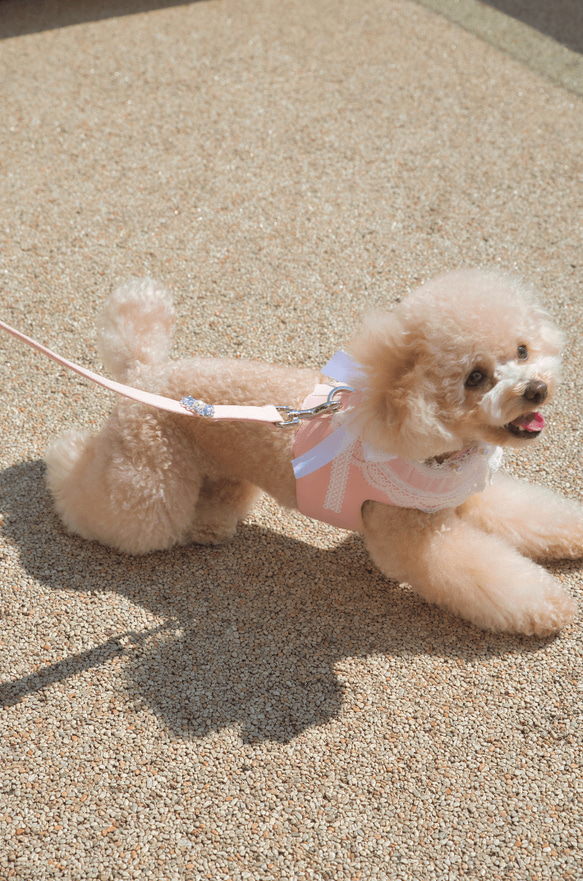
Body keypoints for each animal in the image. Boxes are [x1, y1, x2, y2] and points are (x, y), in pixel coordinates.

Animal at [43, 272, 580, 636]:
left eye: (523, 349)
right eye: (475, 377)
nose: (535, 390)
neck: (436, 453)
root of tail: (144, 373)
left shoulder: (464, 496)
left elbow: (534, 514)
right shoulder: (416, 535)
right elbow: (488, 573)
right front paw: (549, 603)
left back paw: (209, 525)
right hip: (149, 479)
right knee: (107, 503)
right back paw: (61, 459)